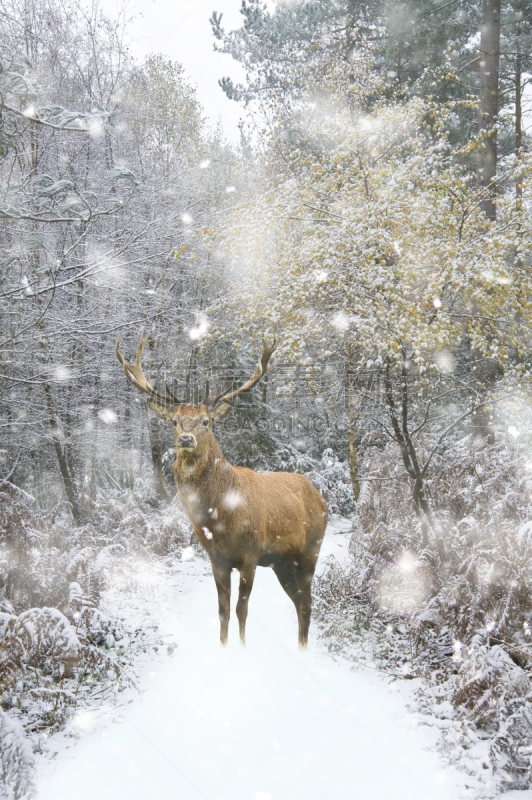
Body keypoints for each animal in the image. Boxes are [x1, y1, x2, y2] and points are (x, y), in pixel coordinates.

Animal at [115, 332, 328, 648]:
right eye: (175, 421)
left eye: (206, 421)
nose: (186, 439)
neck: (221, 519)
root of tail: (321, 498)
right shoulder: (216, 559)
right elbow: (223, 610)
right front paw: (224, 646)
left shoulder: (251, 554)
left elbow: (242, 609)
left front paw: (241, 648)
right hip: (281, 562)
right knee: (299, 600)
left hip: (310, 549)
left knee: (307, 602)